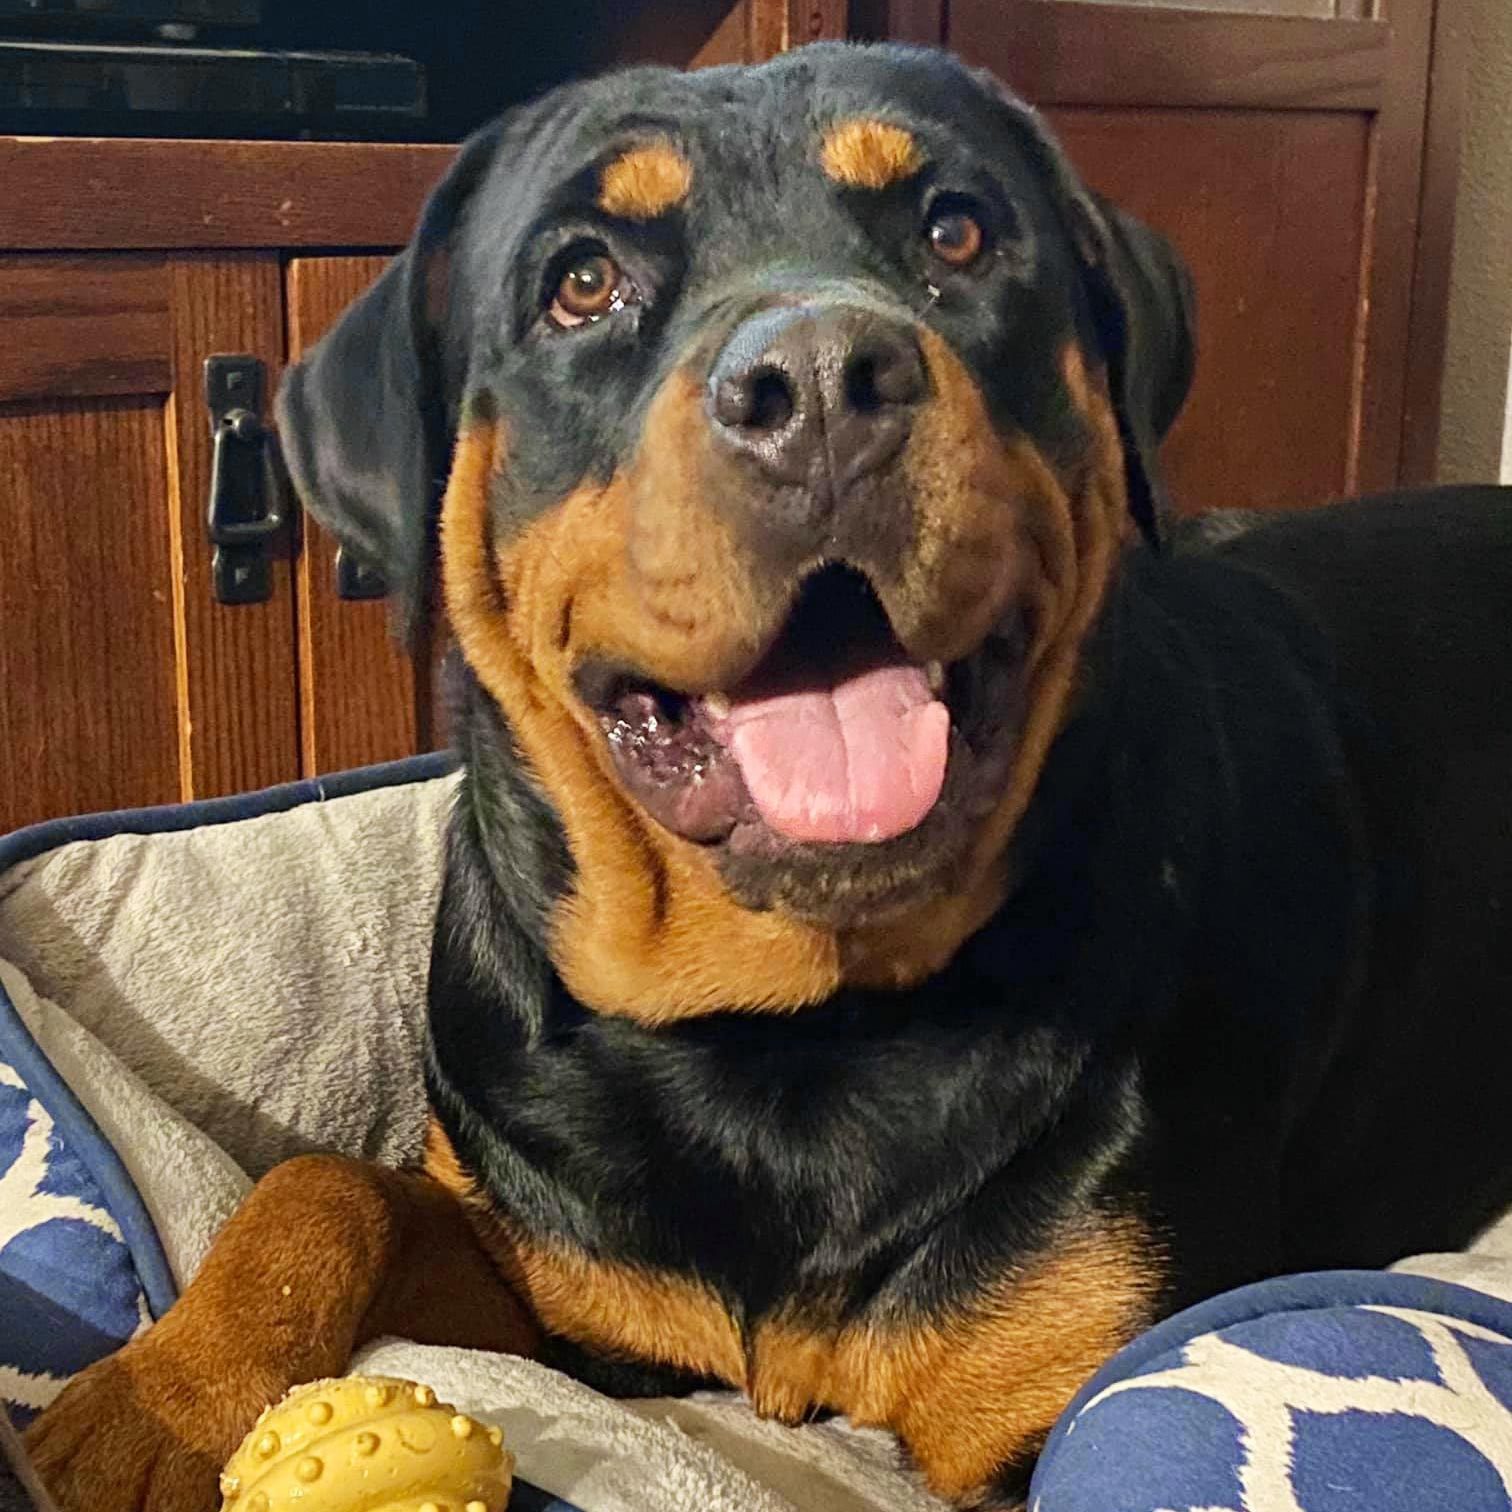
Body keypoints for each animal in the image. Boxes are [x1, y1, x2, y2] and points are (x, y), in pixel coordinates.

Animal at [23, 35, 1512, 1512]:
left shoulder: (1066, 1371)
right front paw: (147, 1406)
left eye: (957, 232)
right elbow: (326, 1186)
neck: (786, 1032)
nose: (821, 381)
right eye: (581, 281)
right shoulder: (553, 1280)